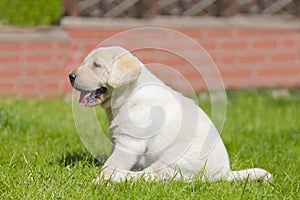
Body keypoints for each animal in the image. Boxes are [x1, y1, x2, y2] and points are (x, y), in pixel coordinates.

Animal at [68, 45, 272, 183]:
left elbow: (111, 165)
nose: (71, 76)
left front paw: (100, 180)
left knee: (148, 176)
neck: (128, 95)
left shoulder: (130, 143)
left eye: (96, 65)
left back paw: (120, 178)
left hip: (174, 159)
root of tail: (225, 173)